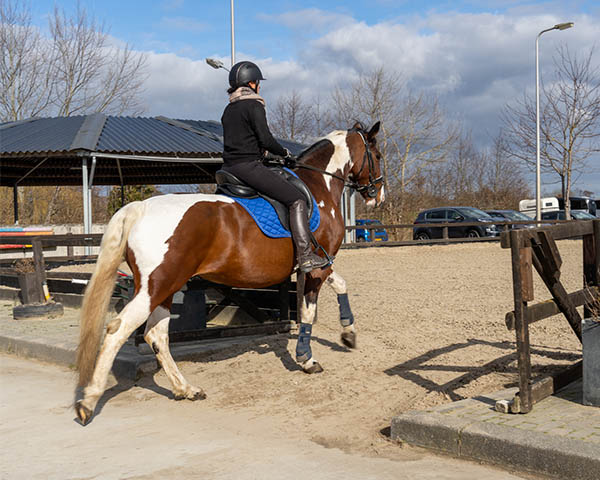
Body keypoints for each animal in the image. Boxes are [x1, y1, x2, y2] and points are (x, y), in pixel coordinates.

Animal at [75, 122, 384, 426]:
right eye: (378, 156)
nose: (378, 196)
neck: (318, 187)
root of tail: (140, 208)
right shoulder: (318, 267)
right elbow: (309, 312)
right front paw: (307, 358)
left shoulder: (320, 265)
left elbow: (341, 284)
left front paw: (348, 335)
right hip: (157, 286)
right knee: (119, 330)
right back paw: (88, 402)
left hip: (164, 287)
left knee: (157, 335)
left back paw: (185, 389)